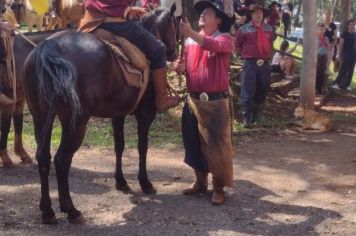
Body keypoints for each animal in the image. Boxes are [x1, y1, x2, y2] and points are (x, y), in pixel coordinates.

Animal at [23, 5, 178, 223]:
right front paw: (145, 183)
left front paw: (121, 182)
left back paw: (47, 211)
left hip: (41, 117)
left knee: (43, 157)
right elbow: (142, 146)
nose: (174, 53)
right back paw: (71, 209)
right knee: (62, 160)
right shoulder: (146, 114)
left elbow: (119, 146)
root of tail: (48, 47)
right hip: (76, 122)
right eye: (175, 27)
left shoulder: (118, 114)